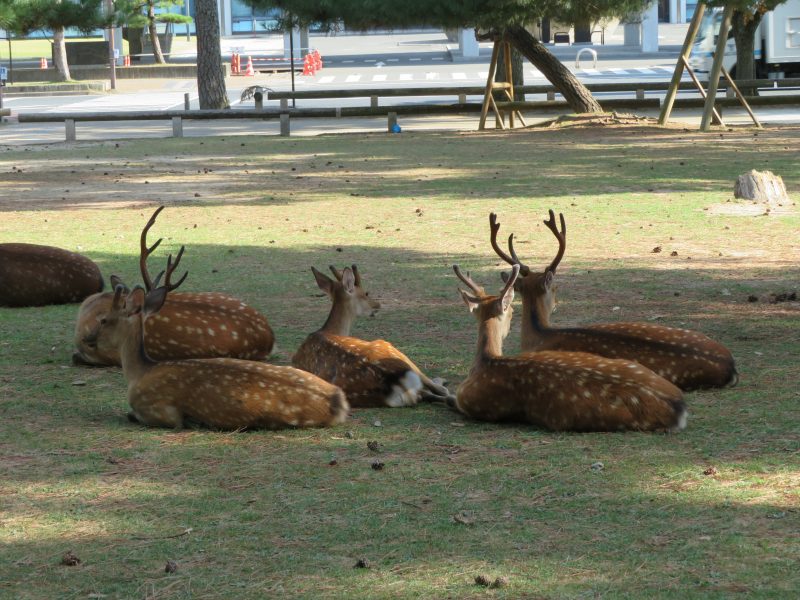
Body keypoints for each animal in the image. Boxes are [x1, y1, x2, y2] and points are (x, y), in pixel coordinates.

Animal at [97, 250, 346, 432]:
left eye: (104, 319)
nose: (91, 339)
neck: (140, 373)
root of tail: (339, 402)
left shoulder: (161, 411)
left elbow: (136, 415)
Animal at [292, 264, 456, 408]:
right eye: (366, 293)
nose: (377, 305)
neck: (330, 330)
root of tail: (393, 381)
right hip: (391, 348)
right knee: (439, 390)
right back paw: (442, 381)